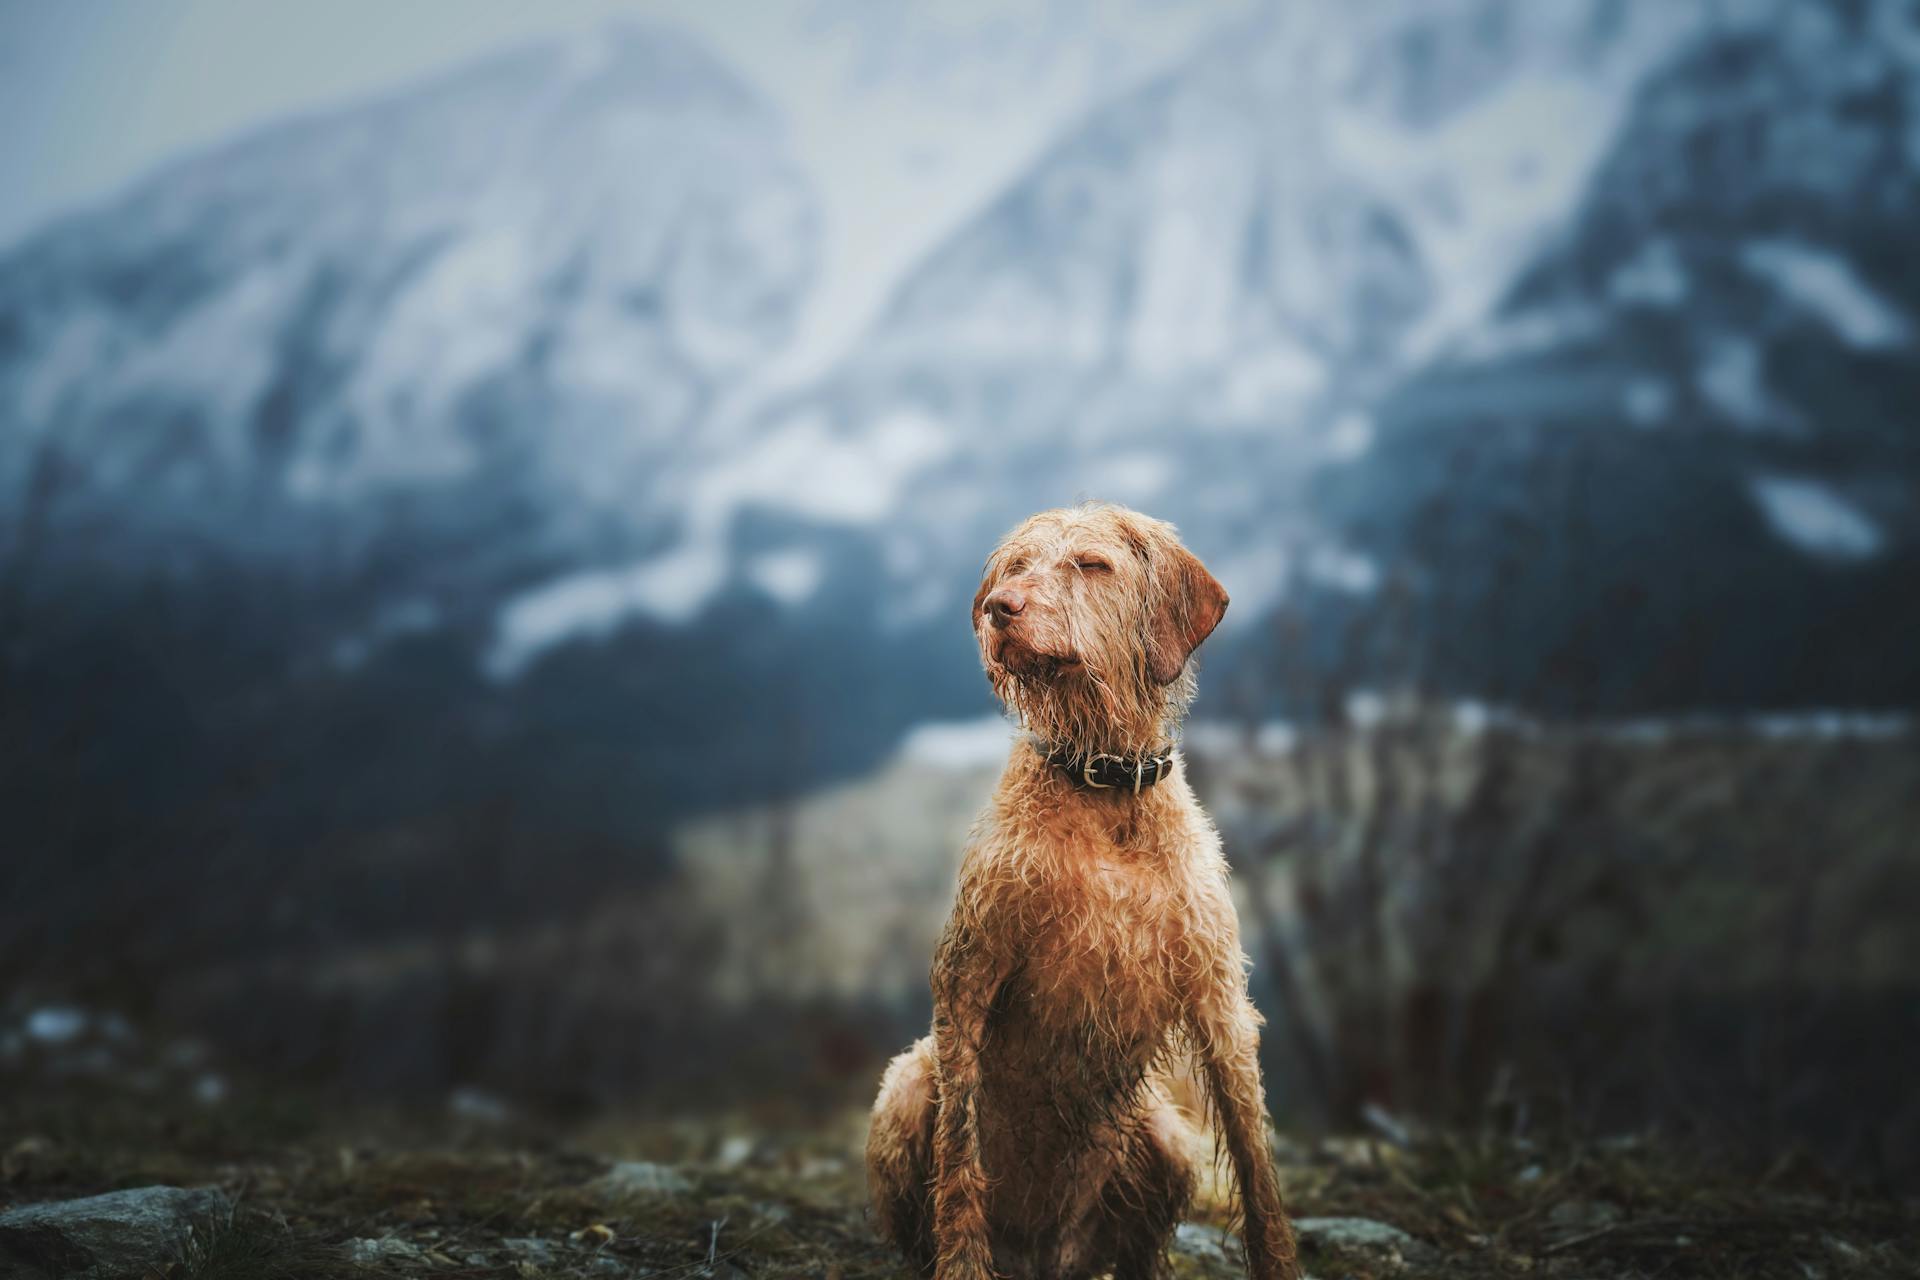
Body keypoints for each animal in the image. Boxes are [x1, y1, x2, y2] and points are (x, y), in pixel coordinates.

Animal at [875, 498, 1305, 1280]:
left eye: (1092, 564)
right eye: (1015, 567)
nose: (1000, 608)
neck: (1104, 785)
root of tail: (1039, 1253)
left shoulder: (1219, 998)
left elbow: (1256, 1163)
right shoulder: (968, 975)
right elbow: (959, 1155)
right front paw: (962, 1263)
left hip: (1166, 1137)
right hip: (907, 1081)